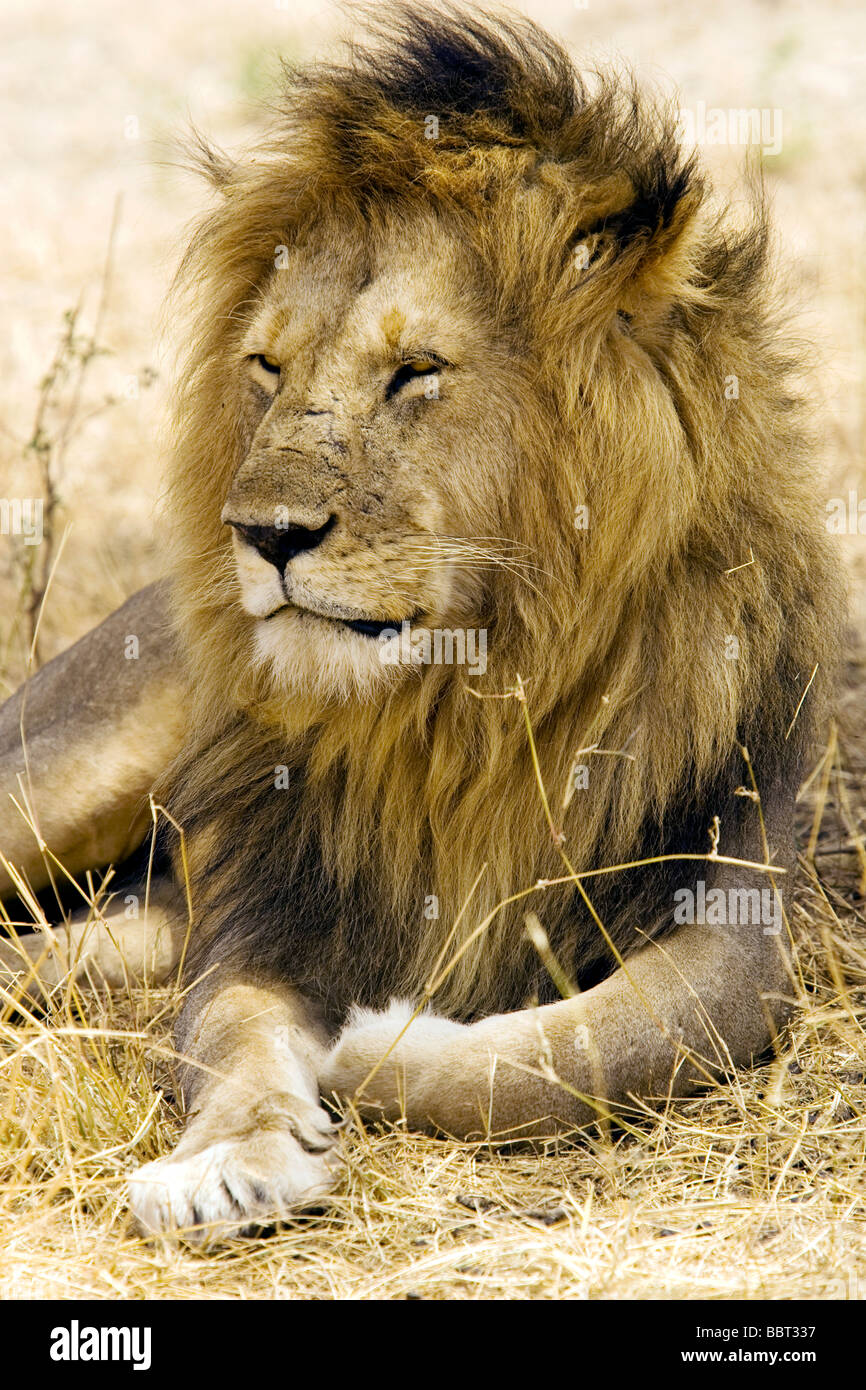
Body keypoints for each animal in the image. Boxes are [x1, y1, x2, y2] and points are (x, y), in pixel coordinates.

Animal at [0, 4, 843, 1242]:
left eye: (414, 371)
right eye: (266, 365)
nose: (260, 531)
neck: (468, 705)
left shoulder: (737, 910)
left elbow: (591, 1048)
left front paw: (366, 1048)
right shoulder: (268, 908)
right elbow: (232, 1033)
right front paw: (229, 1159)